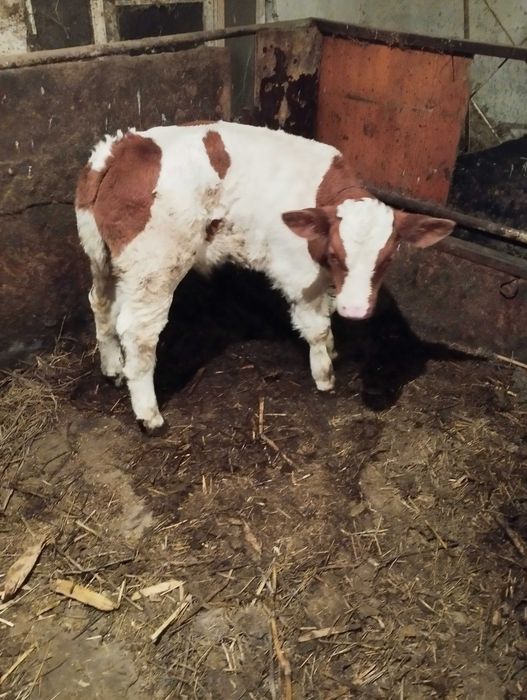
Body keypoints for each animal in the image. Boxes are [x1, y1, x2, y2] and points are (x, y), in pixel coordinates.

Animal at [75, 121, 455, 434]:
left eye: (387, 258)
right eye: (336, 254)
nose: (357, 311)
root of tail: (121, 148)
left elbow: (327, 312)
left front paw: (333, 350)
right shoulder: (299, 271)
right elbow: (316, 325)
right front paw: (324, 375)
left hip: (103, 256)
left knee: (102, 304)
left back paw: (113, 369)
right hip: (156, 264)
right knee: (138, 333)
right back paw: (150, 416)